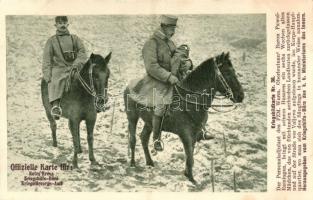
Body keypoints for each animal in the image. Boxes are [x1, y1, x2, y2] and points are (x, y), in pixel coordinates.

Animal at [124, 52, 244, 184]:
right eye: (227, 73)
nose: (241, 96)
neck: (190, 100)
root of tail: (130, 85)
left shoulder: (194, 135)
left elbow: (190, 155)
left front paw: (187, 174)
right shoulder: (185, 135)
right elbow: (190, 157)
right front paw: (191, 179)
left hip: (149, 122)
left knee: (144, 138)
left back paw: (150, 162)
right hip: (132, 117)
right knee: (133, 139)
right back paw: (133, 163)